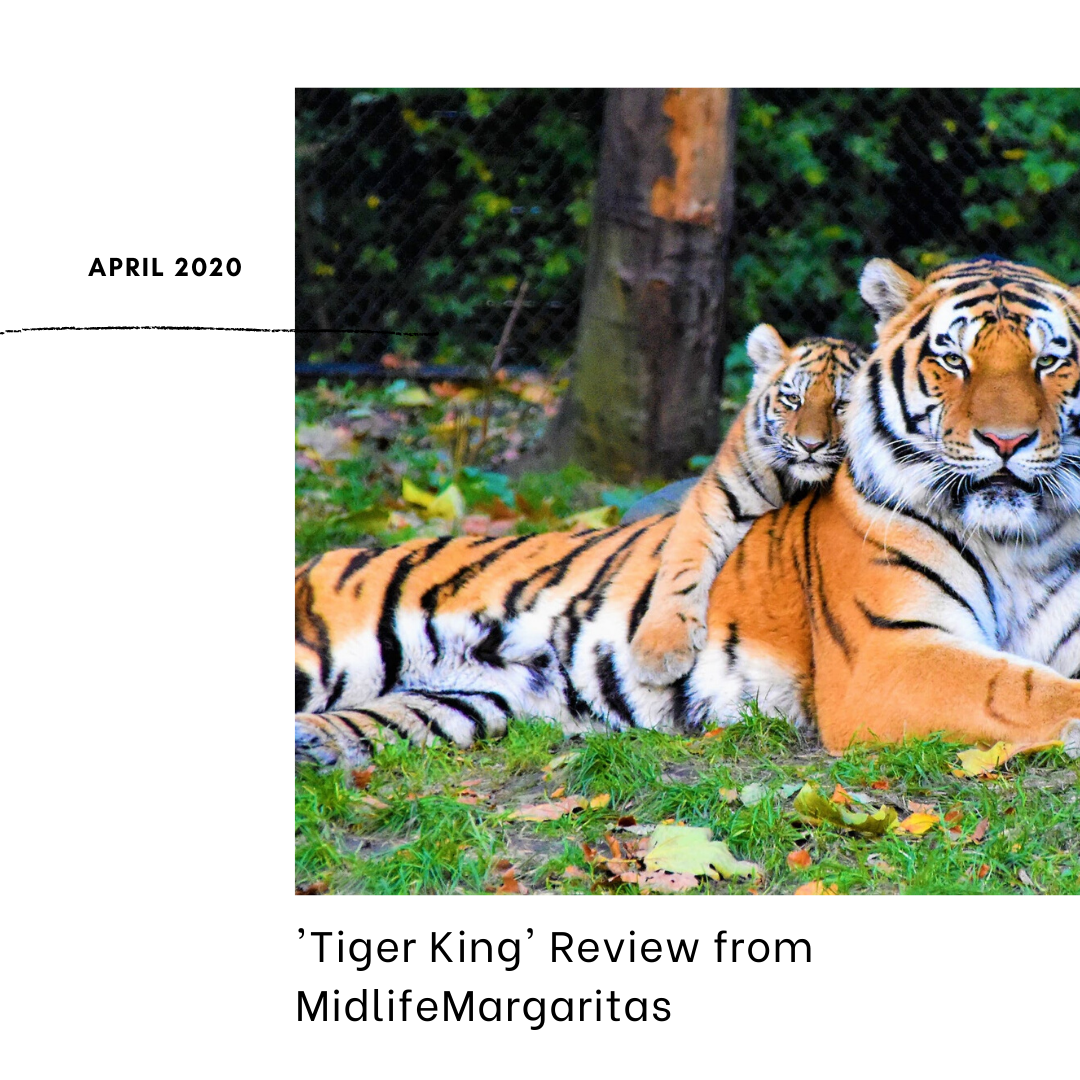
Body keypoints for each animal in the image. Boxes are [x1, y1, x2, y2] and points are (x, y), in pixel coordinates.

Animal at [628, 326, 866, 686]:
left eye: (842, 404)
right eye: (793, 399)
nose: (810, 445)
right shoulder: (713, 501)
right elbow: (682, 567)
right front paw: (659, 651)